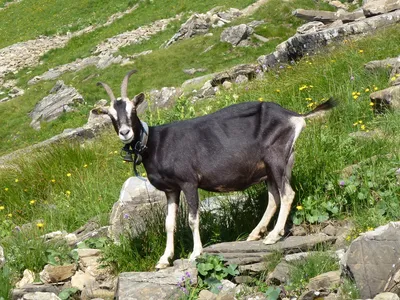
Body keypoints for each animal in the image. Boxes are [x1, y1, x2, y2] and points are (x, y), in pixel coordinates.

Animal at [97, 71, 338, 270]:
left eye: (133, 109)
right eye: (110, 115)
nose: (125, 132)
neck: (155, 142)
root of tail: (295, 116)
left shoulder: (188, 182)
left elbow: (192, 219)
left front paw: (196, 253)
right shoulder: (171, 189)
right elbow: (169, 224)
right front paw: (164, 260)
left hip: (276, 158)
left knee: (287, 194)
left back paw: (272, 236)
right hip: (271, 167)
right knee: (274, 198)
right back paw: (256, 233)